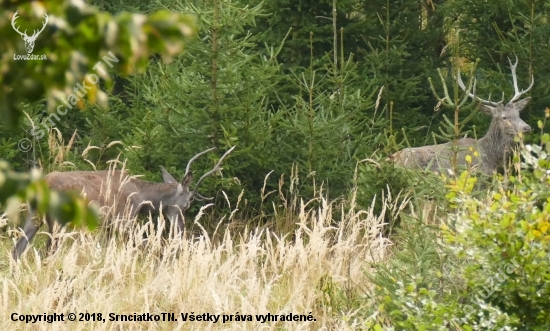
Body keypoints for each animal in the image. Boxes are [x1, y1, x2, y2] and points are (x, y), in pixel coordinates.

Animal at [10, 147, 235, 260]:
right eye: (187, 204)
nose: (180, 229)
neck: (141, 197)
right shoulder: (124, 219)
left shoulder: (109, 226)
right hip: (57, 220)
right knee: (47, 252)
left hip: (34, 215)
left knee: (17, 249)